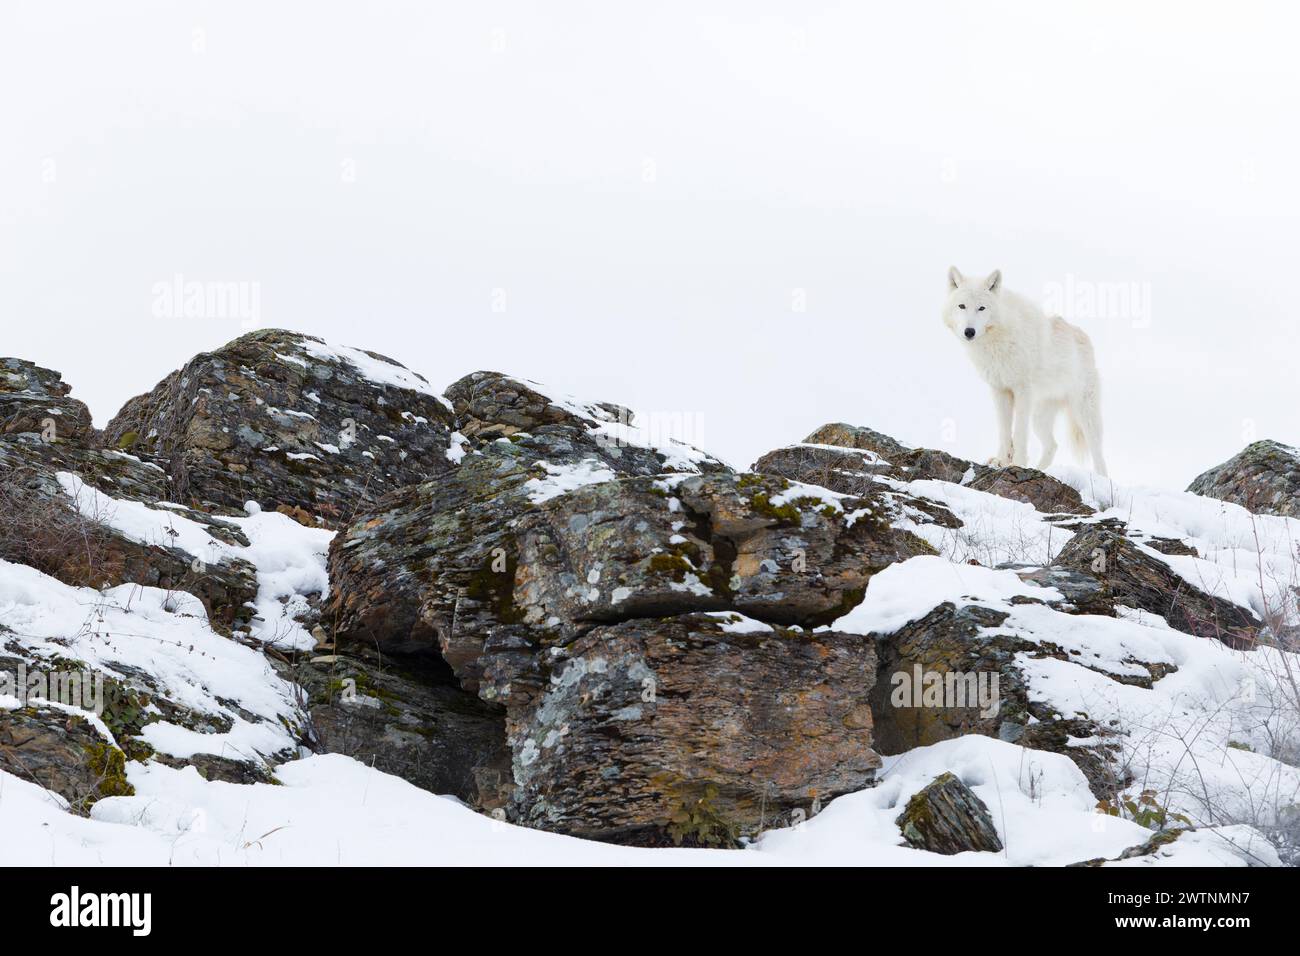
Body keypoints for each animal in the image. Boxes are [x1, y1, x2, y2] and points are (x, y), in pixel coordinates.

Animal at [942, 267, 1107, 476]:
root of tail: (1084, 336)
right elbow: (1004, 433)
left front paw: (1017, 464)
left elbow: (1019, 433)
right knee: (1053, 445)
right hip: (1038, 418)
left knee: (1098, 451)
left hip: (1083, 413)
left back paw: (1101, 478)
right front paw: (1000, 462)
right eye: (961, 306)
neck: (997, 340)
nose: (969, 331)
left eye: (982, 308)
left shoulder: (1022, 390)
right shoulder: (1000, 391)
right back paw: (1039, 470)